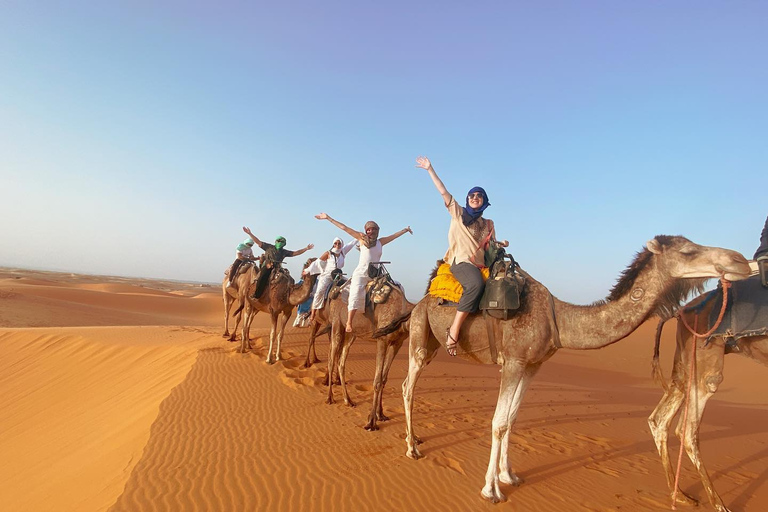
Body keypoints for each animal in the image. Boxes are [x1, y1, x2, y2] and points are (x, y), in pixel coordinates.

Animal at [320, 276, 414, 432]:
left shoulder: (396, 344)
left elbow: (384, 379)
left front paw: (381, 414)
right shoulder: (382, 340)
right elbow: (377, 381)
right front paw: (371, 422)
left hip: (350, 333)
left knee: (341, 362)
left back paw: (348, 400)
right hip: (337, 325)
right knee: (331, 359)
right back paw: (330, 398)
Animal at [390, 237, 752, 504]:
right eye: (688, 251)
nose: (737, 259)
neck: (559, 321)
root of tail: (418, 301)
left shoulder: (532, 366)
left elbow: (512, 420)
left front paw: (510, 476)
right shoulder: (514, 362)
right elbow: (497, 423)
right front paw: (491, 490)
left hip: (433, 344)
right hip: (421, 335)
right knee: (408, 385)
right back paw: (412, 448)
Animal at [648, 276, 768, 512]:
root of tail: (680, 312)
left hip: (685, 362)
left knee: (659, 419)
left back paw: (680, 495)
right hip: (705, 360)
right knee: (687, 431)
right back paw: (719, 504)